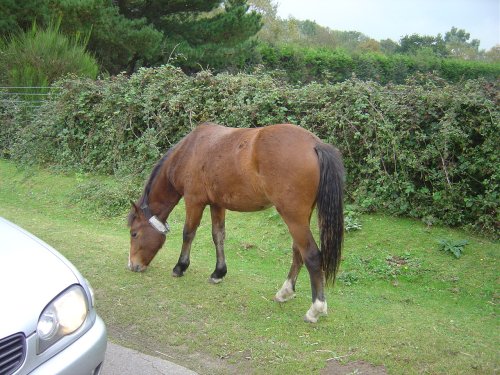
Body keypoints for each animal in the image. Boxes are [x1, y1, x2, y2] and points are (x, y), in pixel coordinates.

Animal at [127, 123, 344, 324]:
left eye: (134, 233)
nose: (132, 266)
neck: (189, 151)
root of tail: (314, 144)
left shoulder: (194, 201)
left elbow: (188, 233)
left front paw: (180, 267)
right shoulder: (216, 204)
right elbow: (218, 236)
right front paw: (219, 272)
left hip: (293, 216)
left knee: (311, 255)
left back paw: (315, 309)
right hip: (301, 217)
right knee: (298, 251)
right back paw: (285, 292)